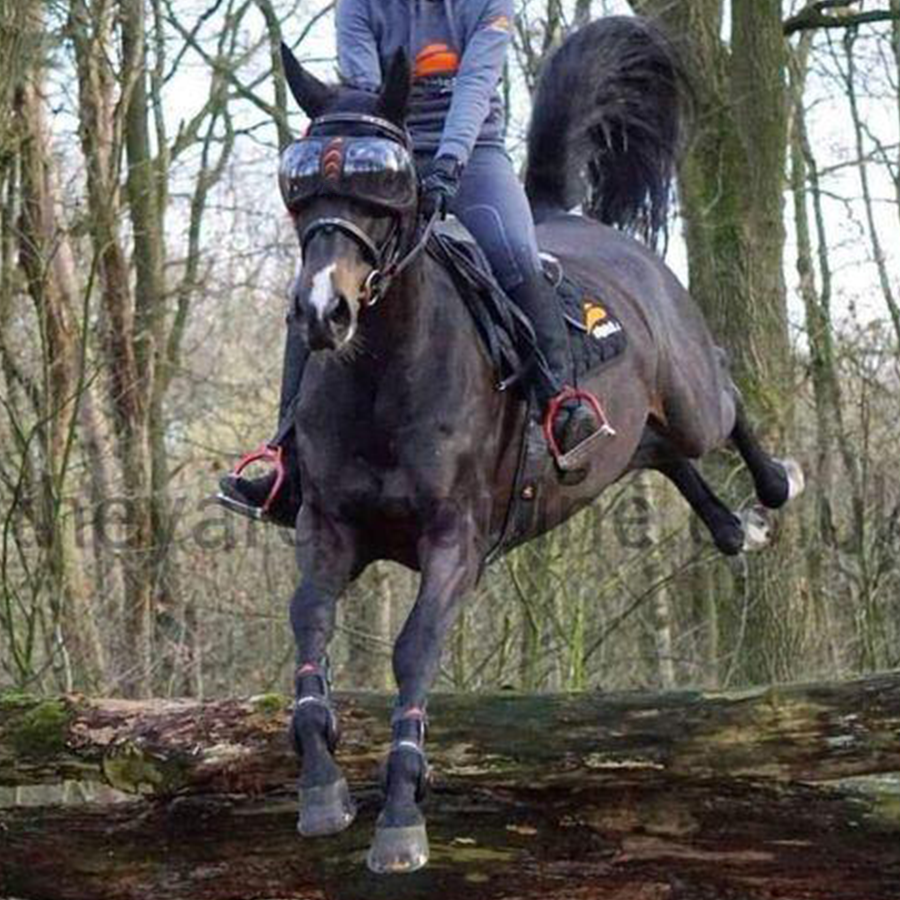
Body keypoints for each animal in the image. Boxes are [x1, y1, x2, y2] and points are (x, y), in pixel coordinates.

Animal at [273, 16, 803, 875]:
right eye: (300, 189)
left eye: (384, 185)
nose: (323, 312)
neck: (385, 375)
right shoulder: (328, 529)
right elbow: (308, 624)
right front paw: (321, 784)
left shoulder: (456, 541)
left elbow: (415, 649)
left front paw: (402, 811)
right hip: (622, 443)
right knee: (661, 452)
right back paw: (734, 527)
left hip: (690, 392)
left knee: (723, 403)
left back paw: (777, 487)